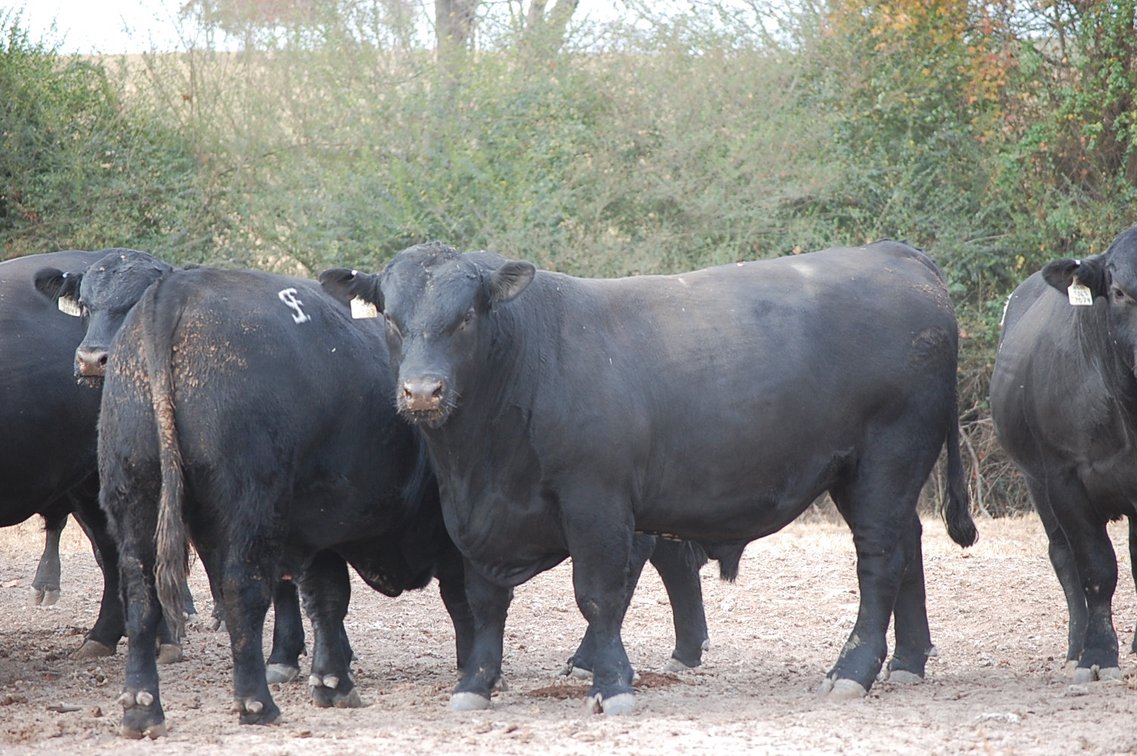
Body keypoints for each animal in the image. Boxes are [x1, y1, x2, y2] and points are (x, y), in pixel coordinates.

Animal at [319, 239, 978, 714]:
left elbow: (598, 595)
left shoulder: (597, 502)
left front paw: (611, 685)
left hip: (888, 457)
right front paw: (474, 686)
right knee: (907, 547)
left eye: (465, 318)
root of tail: (895, 254)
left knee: (880, 561)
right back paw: (908, 662)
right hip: (873, 473)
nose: (422, 391)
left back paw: (852, 671)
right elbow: (484, 602)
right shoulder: (477, 518)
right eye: (391, 318)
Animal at [990, 224, 1137, 683]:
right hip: (1036, 483)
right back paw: (1076, 647)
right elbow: (1095, 568)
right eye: (1120, 292)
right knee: (1064, 559)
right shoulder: (1064, 477)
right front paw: (1098, 655)